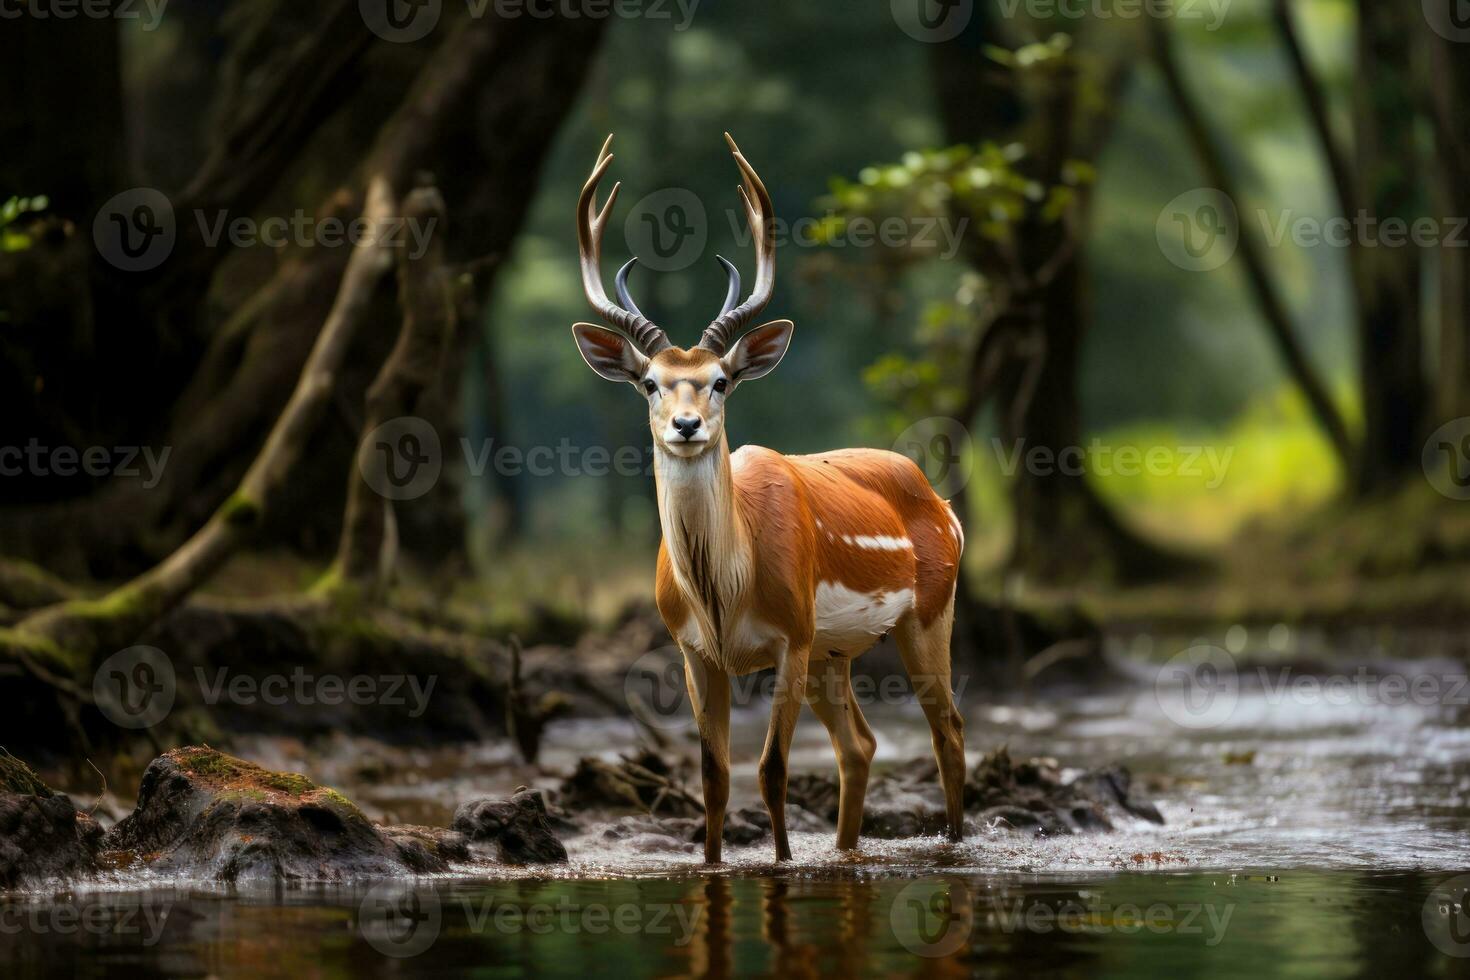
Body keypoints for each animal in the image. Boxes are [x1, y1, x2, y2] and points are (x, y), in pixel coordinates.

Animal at [570, 134, 964, 863]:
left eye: (721, 380)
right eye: (650, 383)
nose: (686, 425)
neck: (723, 590)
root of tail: (943, 504)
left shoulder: (790, 636)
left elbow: (772, 770)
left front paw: (781, 862)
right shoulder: (693, 651)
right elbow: (714, 778)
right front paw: (713, 862)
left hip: (926, 612)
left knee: (946, 727)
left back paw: (953, 841)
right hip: (835, 652)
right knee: (861, 746)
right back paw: (845, 848)